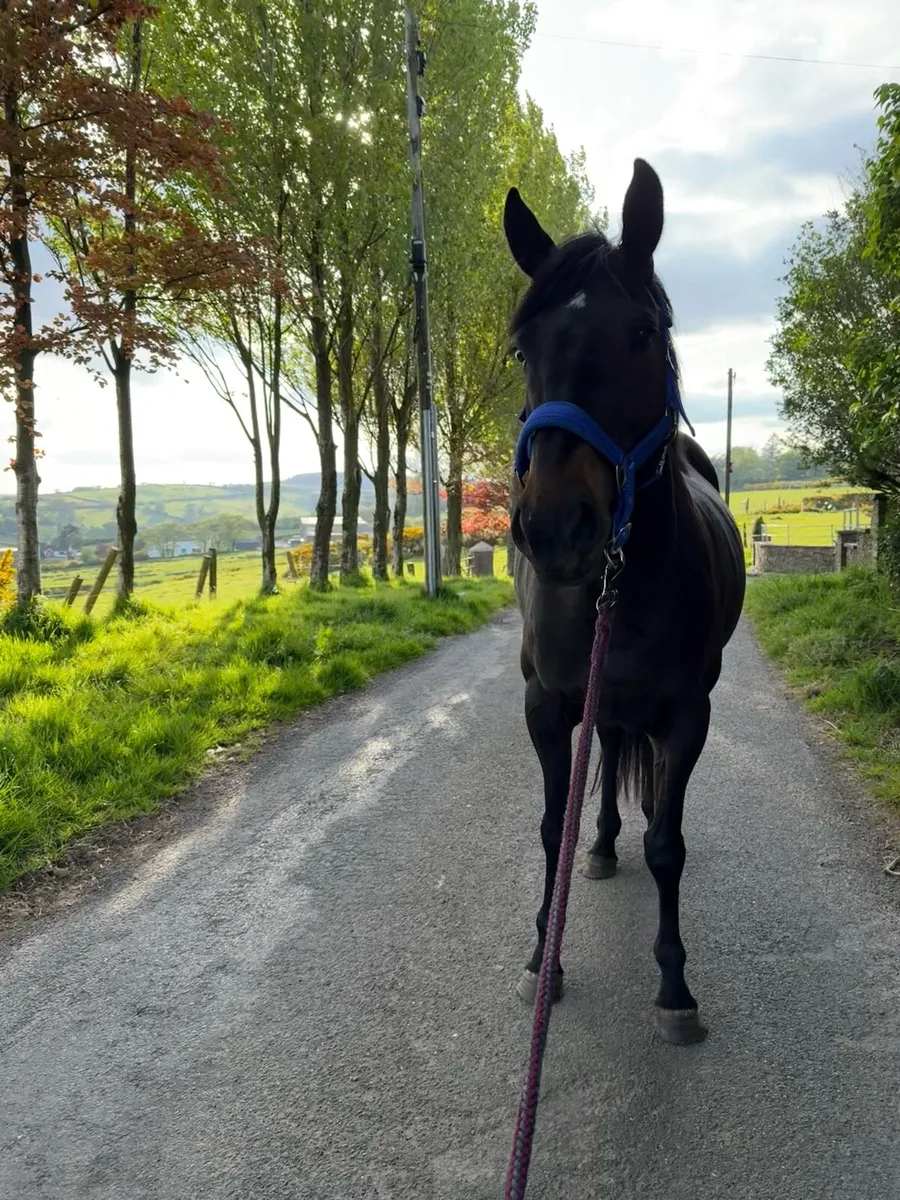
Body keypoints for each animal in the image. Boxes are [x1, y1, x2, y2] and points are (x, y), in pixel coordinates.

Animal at [504, 159, 746, 1046]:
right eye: (523, 346)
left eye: (641, 333)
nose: (554, 526)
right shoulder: (545, 705)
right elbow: (553, 826)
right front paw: (545, 955)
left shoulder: (687, 714)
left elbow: (670, 844)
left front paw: (675, 985)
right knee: (607, 757)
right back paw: (606, 843)